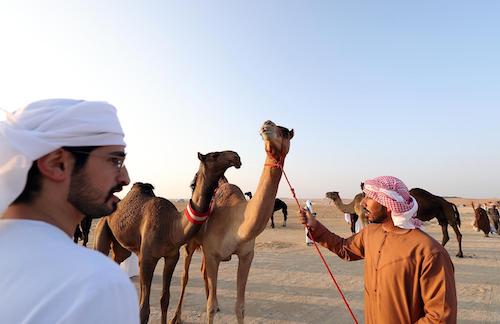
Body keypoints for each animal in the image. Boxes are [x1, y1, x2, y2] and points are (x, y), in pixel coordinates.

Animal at [95, 151, 242, 324]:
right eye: (214, 155)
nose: (236, 157)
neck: (171, 227)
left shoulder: (171, 257)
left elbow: (164, 299)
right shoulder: (147, 258)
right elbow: (144, 310)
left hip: (123, 247)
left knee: (118, 258)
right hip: (102, 228)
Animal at [171, 121, 292, 324]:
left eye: (284, 132)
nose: (266, 124)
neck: (238, 223)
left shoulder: (246, 256)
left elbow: (240, 307)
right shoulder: (213, 254)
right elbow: (210, 308)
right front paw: (210, 307)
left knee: (203, 272)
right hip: (191, 243)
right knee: (185, 276)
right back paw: (176, 317)